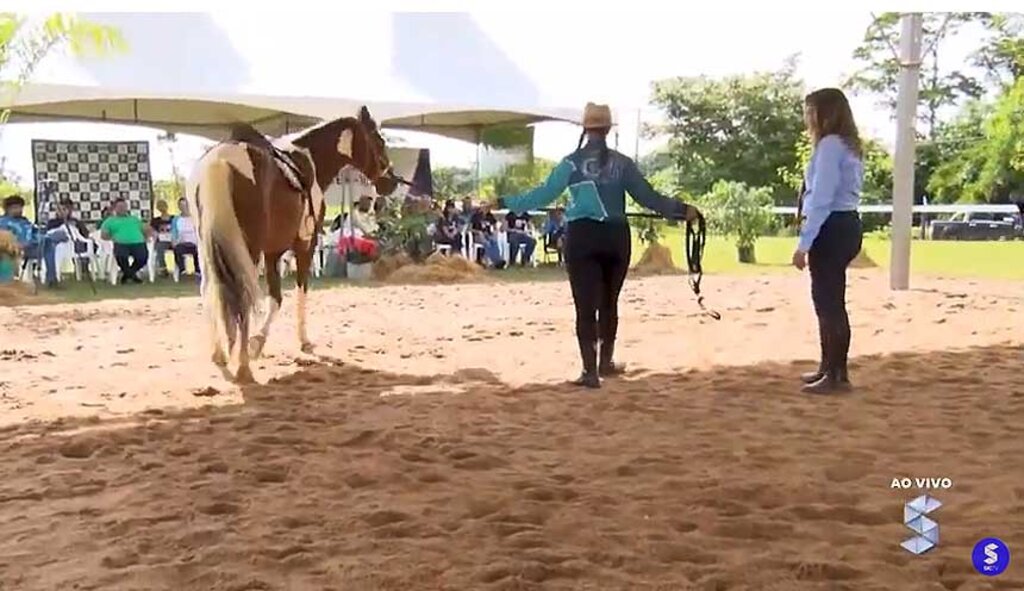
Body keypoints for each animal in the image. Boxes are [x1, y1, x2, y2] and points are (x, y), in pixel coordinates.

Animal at [190, 106, 397, 383]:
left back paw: (219, 354)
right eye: (379, 140)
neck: (311, 163)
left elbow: (275, 297)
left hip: (208, 248)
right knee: (242, 294)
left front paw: (259, 343)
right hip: (245, 249)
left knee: (209, 290)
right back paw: (243, 366)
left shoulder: (271, 251)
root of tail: (221, 160)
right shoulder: (304, 245)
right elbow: (298, 290)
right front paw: (294, 341)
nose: (391, 182)